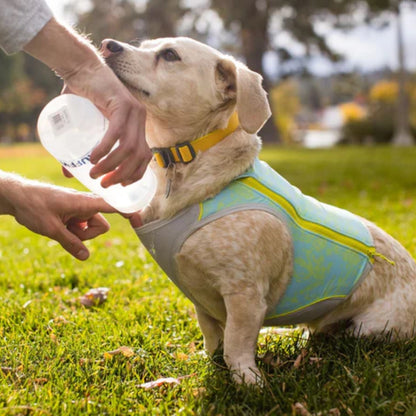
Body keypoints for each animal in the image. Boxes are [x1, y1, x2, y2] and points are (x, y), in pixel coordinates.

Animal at [100, 37, 416, 386]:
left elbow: (235, 345)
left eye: (170, 55)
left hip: (370, 328)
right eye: (145, 44)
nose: (108, 44)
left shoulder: (245, 295)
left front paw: (248, 381)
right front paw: (211, 363)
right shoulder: (202, 302)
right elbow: (213, 340)